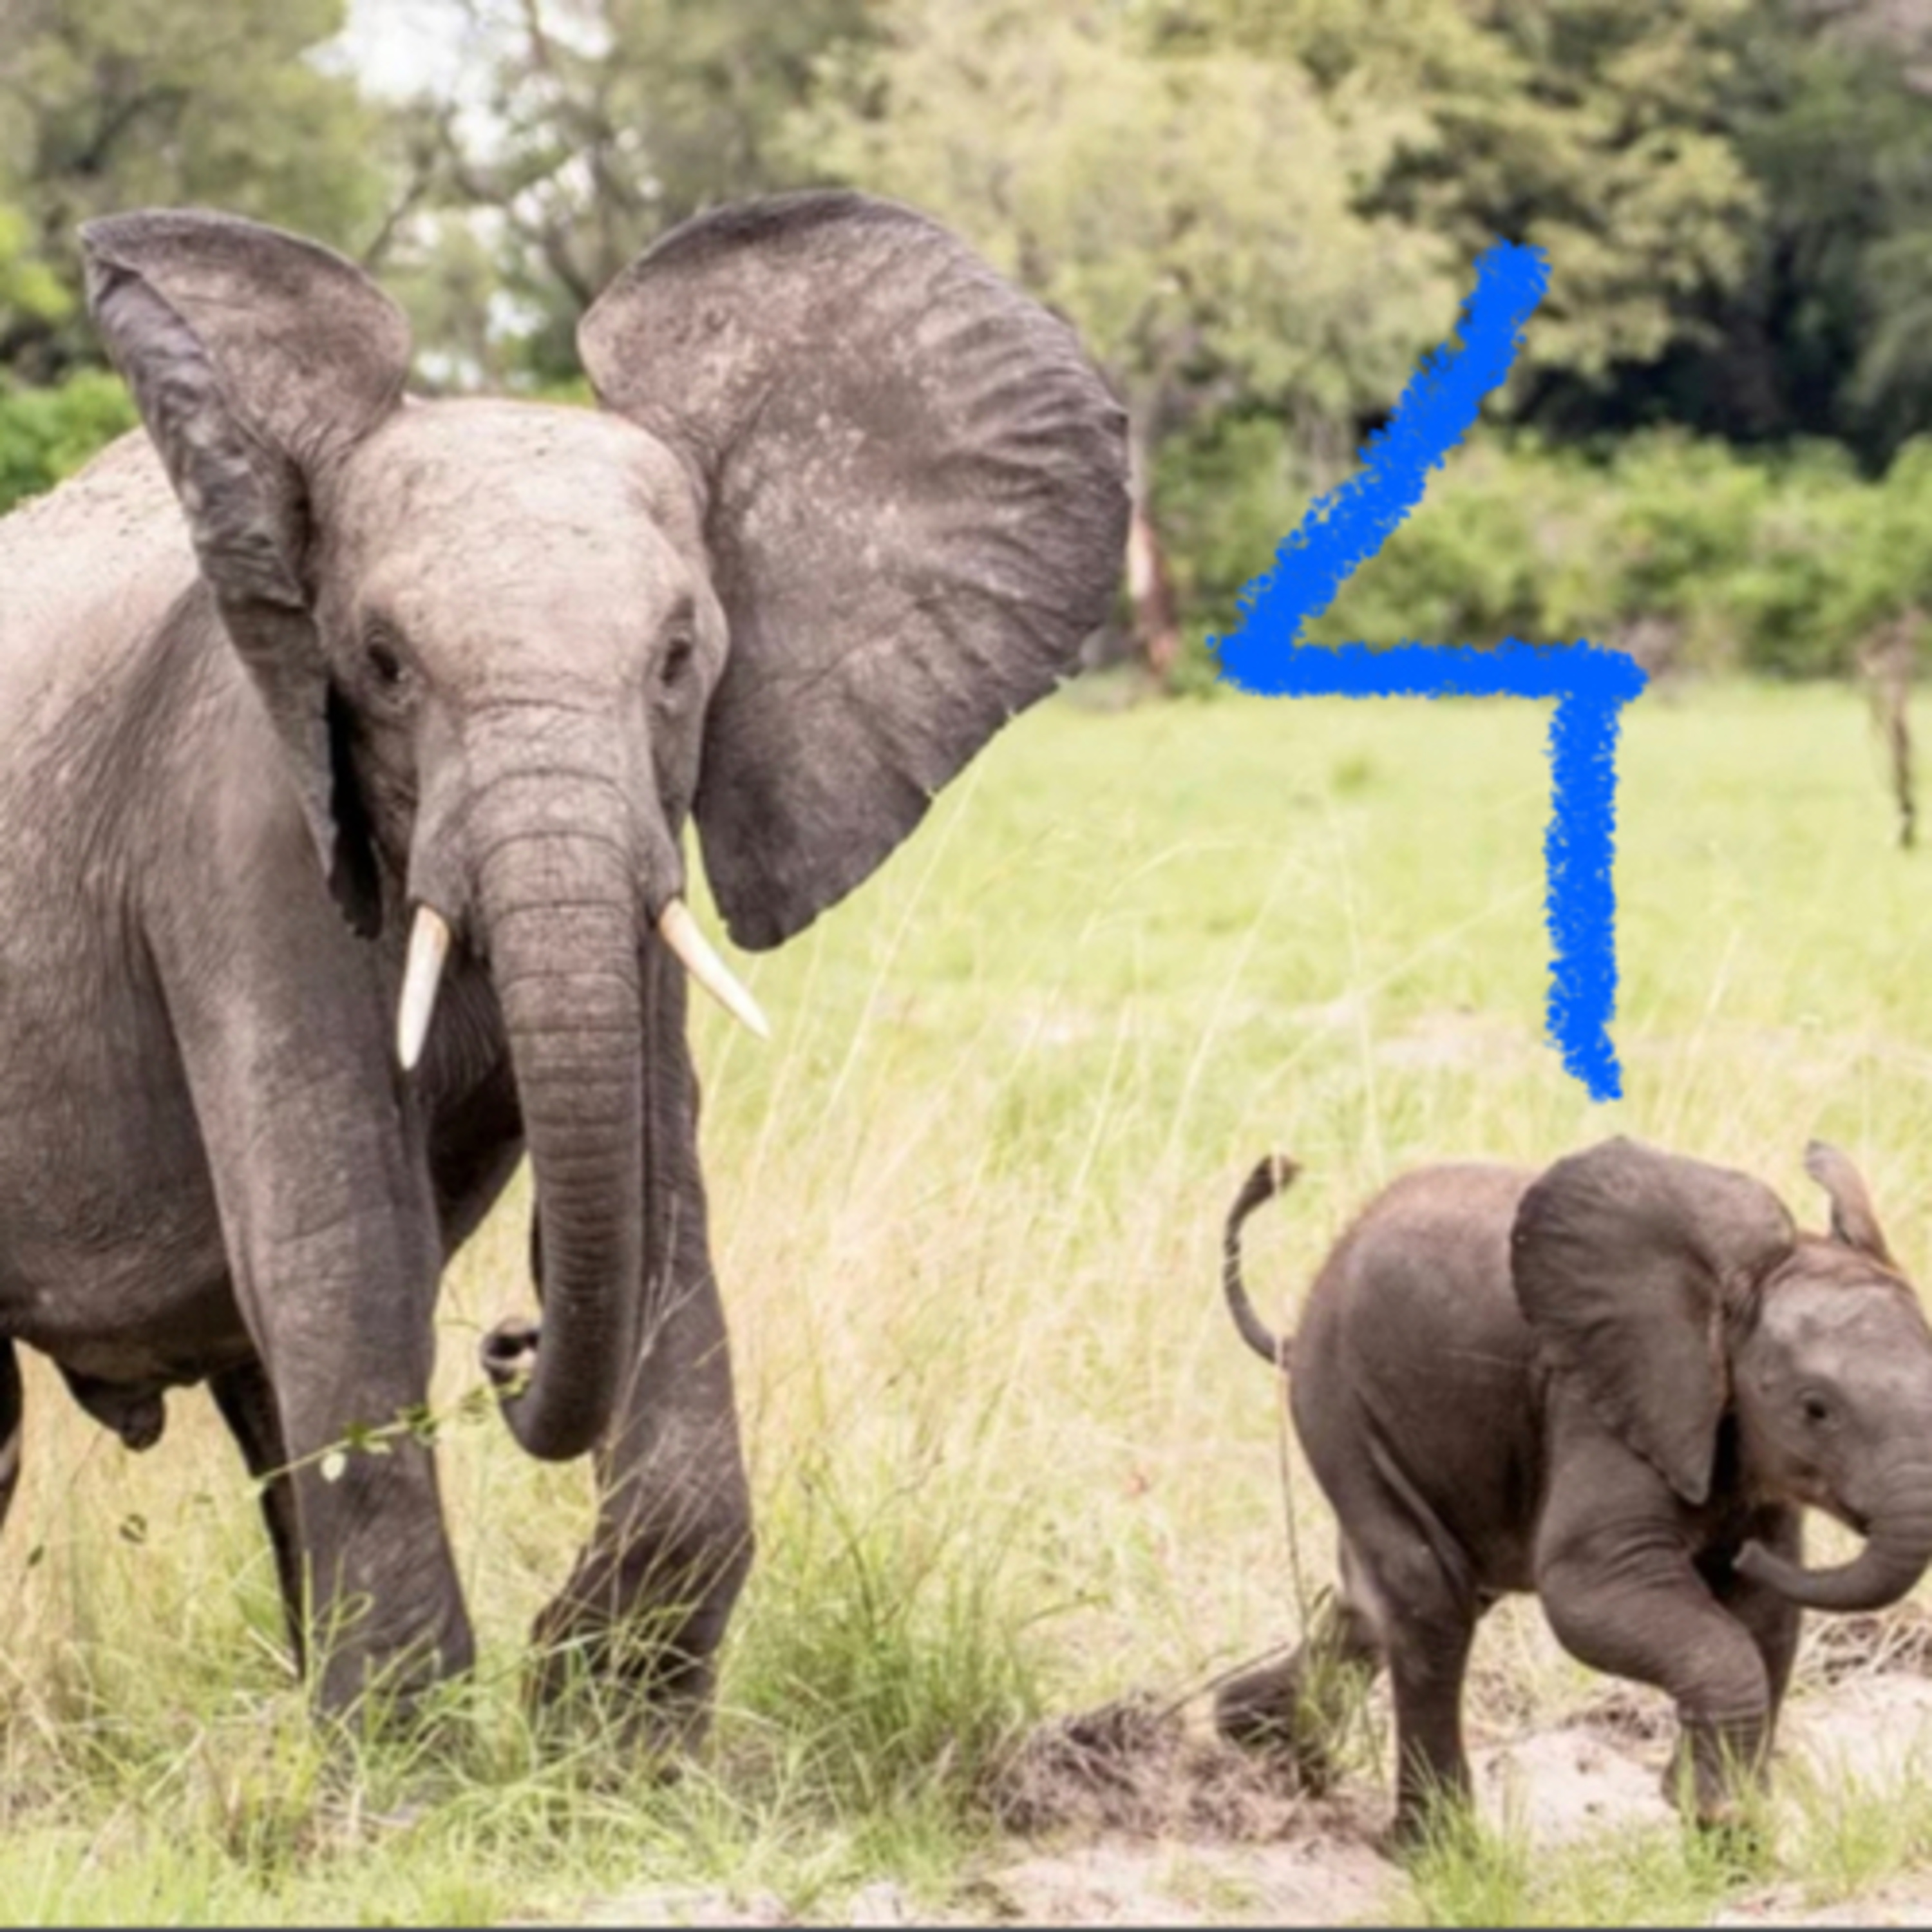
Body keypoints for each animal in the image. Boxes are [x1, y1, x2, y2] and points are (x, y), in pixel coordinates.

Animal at [0, 192, 1127, 1734]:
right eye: (382, 662)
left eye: (678, 656)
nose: (513, 1340)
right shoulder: (239, 837)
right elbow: (343, 1246)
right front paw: (413, 1773)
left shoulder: (648, 846)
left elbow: (661, 1208)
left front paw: (604, 1738)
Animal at [1212, 1136, 1932, 1843]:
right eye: (1815, 1410)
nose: (1748, 1553)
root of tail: (1302, 1320)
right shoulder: (1599, 1403)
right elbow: (1588, 1590)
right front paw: (1710, 1807)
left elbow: (1767, 1616)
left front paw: (1729, 1832)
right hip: (1340, 1403)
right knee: (1429, 1595)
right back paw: (1436, 1851)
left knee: (1382, 1603)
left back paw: (1253, 1739)